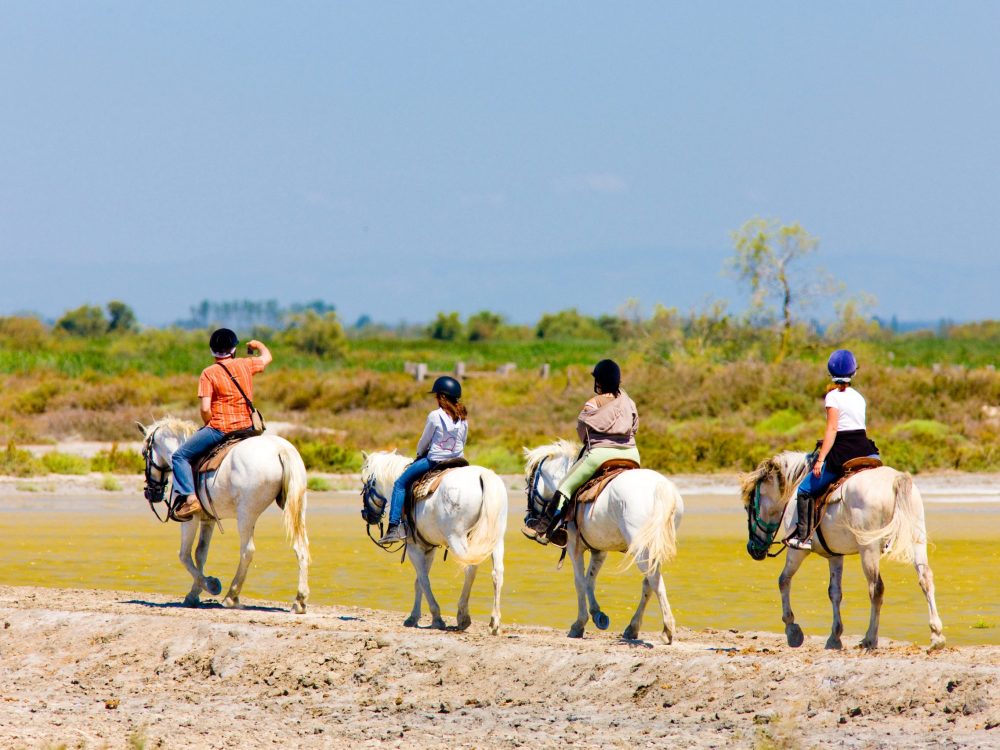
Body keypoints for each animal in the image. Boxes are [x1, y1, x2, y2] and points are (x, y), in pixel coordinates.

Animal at [139, 417, 310, 613]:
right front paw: (195, 593)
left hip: (246, 515)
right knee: (300, 547)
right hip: (297, 508)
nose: (151, 493)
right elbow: (200, 554)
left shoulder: (190, 519)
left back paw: (231, 596)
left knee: (247, 551)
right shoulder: (208, 520)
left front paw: (211, 585)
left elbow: (184, 555)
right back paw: (299, 600)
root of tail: (281, 449)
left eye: (144, 453)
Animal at [360, 451, 508, 634]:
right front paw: (413, 617)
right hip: (495, 539)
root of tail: (482, 475)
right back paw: (494, 622)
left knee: (470, 569)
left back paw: (463, 616)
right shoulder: (428, 548)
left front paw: (436, 618)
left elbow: (424, 580)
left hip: (459, 540)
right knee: (497, 573)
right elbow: (419, 581)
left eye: (364, 481)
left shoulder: (414, 547)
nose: (366, 515)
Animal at [524, 440, 684, 643]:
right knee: (648, 583)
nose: (528, 520)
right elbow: (590, 580)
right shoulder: (599, 551)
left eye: (528, 483)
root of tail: (660, 487)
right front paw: (598, 615)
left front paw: (579, 625)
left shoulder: (574, 548)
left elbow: (579, 582)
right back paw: (632, 628)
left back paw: (667, 629)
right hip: (652, 548)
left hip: (641, 548)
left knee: (654, 580)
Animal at [741, 450, 945, 650]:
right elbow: (835, 592)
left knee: (876, 589)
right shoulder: (835, 555)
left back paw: (870, 638)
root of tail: (896, 479)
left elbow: (783, 580)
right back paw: (936, 635)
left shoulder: (797, 550)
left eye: (748, 507)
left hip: (868, 549)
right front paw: (834, 636)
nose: (752, 549)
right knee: (925, 579)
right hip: (917, 539)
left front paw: (792, 630)